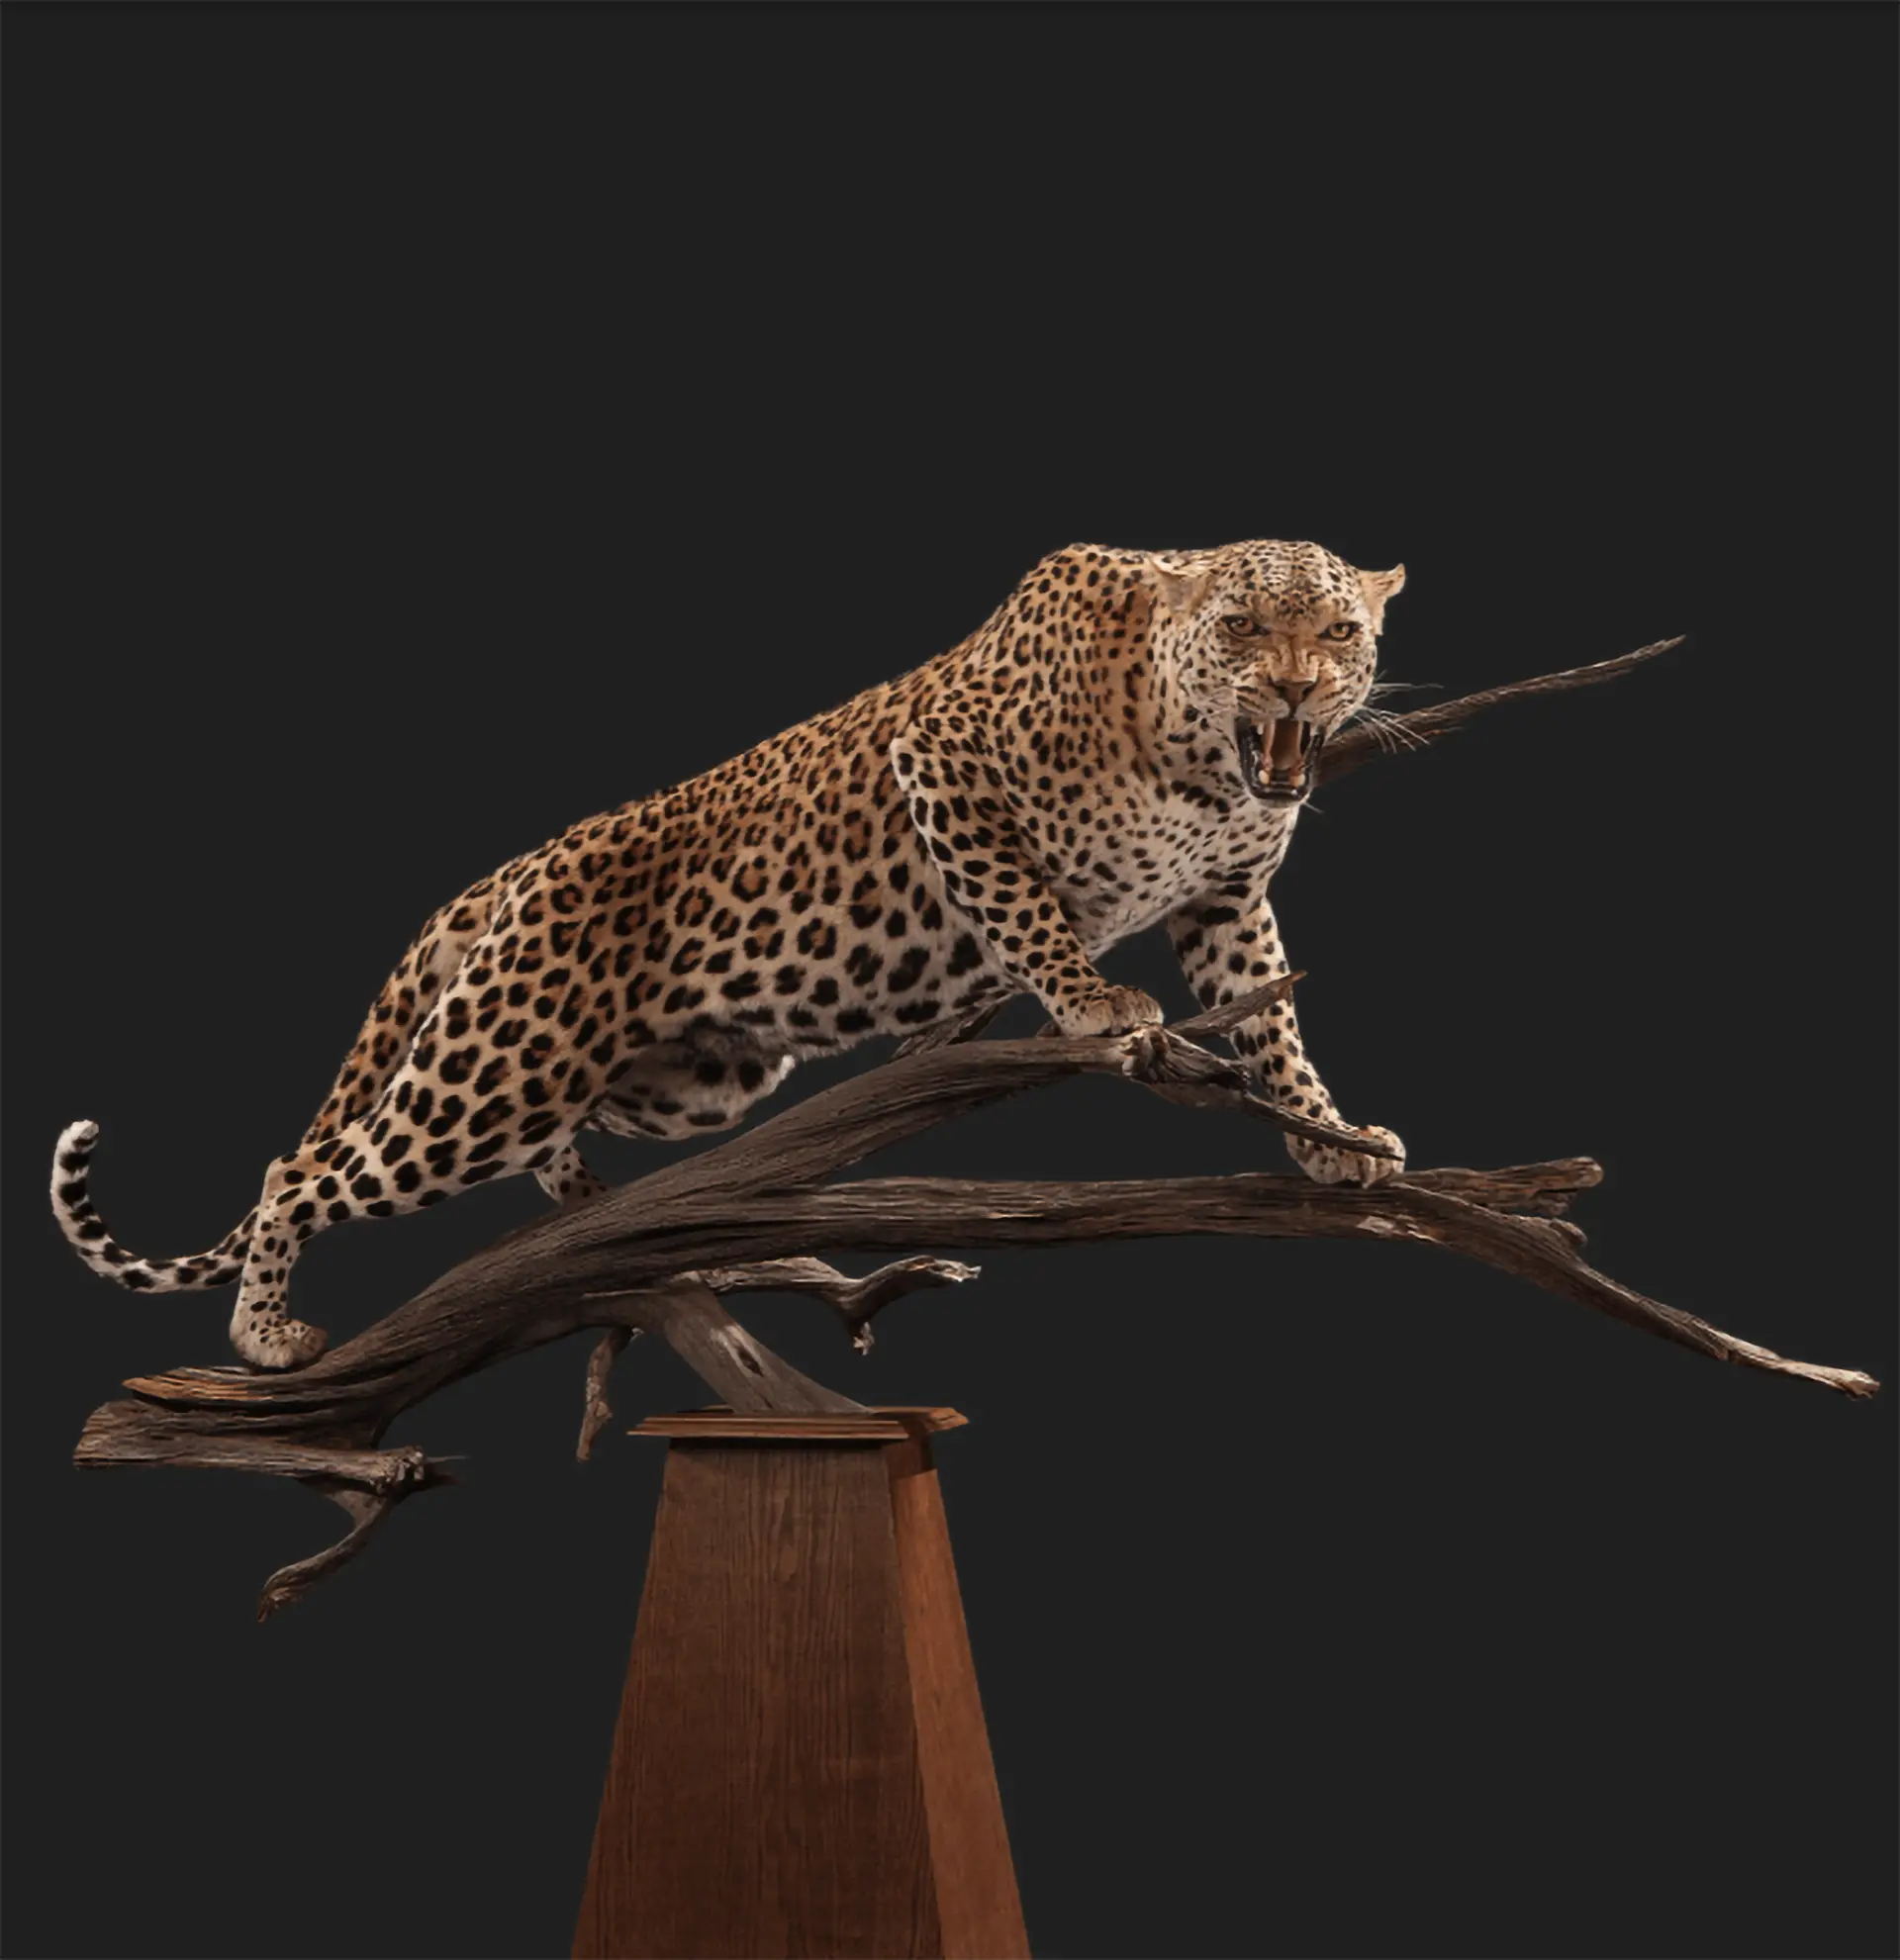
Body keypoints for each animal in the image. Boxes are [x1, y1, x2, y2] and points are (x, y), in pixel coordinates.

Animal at [52, 538, 1407, 1370]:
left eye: (1340, 631)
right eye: (1244, 625)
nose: (1297, 691)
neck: (1204, 762)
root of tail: (512, 871)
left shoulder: (1229, 899)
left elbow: (1272, 1024)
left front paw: (1333, 1140)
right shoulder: (943, 762)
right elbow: (1025, 908)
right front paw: (1089, 1001)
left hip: (686, 1084)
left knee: (550, 1147)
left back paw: (599, 1218)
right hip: (492, 1075)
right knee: (301, 1171)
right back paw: (267, 1340)